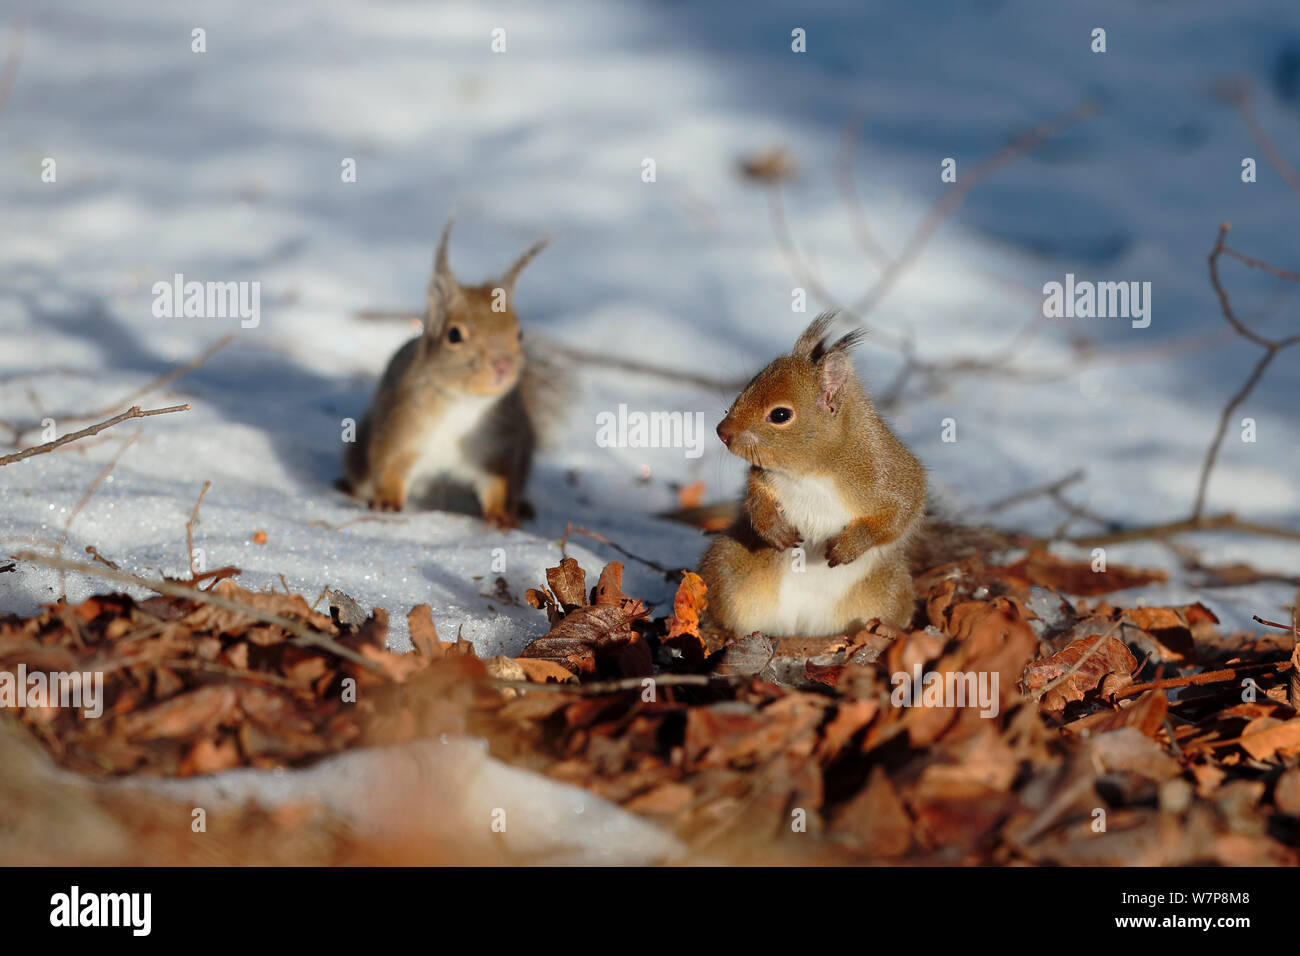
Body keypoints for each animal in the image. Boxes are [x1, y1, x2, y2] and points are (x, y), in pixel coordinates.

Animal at [340, 219, 548, 527]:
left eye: (519, 333)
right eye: (454, 335)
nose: (503, 365)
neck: (464, 403)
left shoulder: (499, 446)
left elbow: (497, 485)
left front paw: (501, 515)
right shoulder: (403, 429)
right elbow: (390, 465)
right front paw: (387, 500)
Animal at [697, 312, 927, 638]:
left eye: (780, 414)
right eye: (752, 382)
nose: (722, 432)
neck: (813, 469)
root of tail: (802, 626)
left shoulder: (888, 472)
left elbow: (901, 512)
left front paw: (850, 544)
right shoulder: (765, 474)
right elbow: (755, 495)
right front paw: (772, 527)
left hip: (889, 595)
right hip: (728, 570)